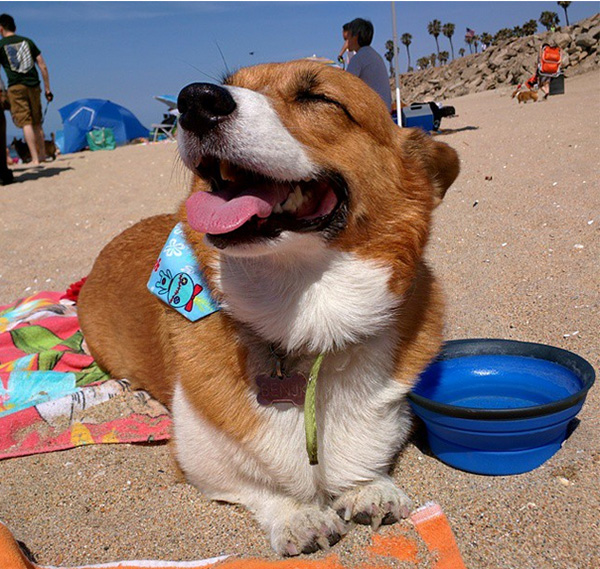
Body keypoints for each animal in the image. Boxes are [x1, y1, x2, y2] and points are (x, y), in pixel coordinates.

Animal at [76, 60, 460, 552]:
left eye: (320, 98)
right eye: (229, 83)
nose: (194, 100)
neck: (307, 319)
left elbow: (367, 454)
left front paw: (368, 487)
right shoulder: (202, 457)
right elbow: (260, 483)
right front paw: (299, 516)